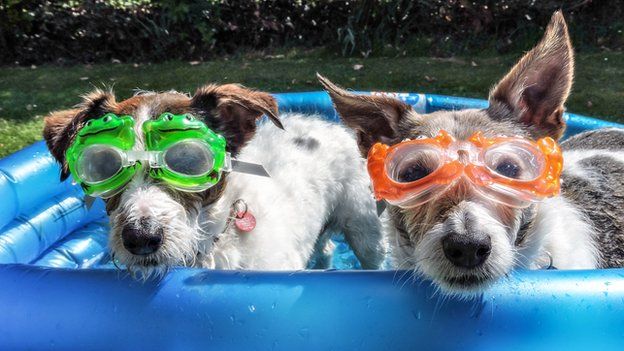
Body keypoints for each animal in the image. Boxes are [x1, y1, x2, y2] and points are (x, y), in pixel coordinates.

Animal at [44, 84, 386, 278]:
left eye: (189, 160)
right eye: (104, 166)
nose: (140, 238)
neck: (210, 248)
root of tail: (332, 125)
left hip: (365, 231)